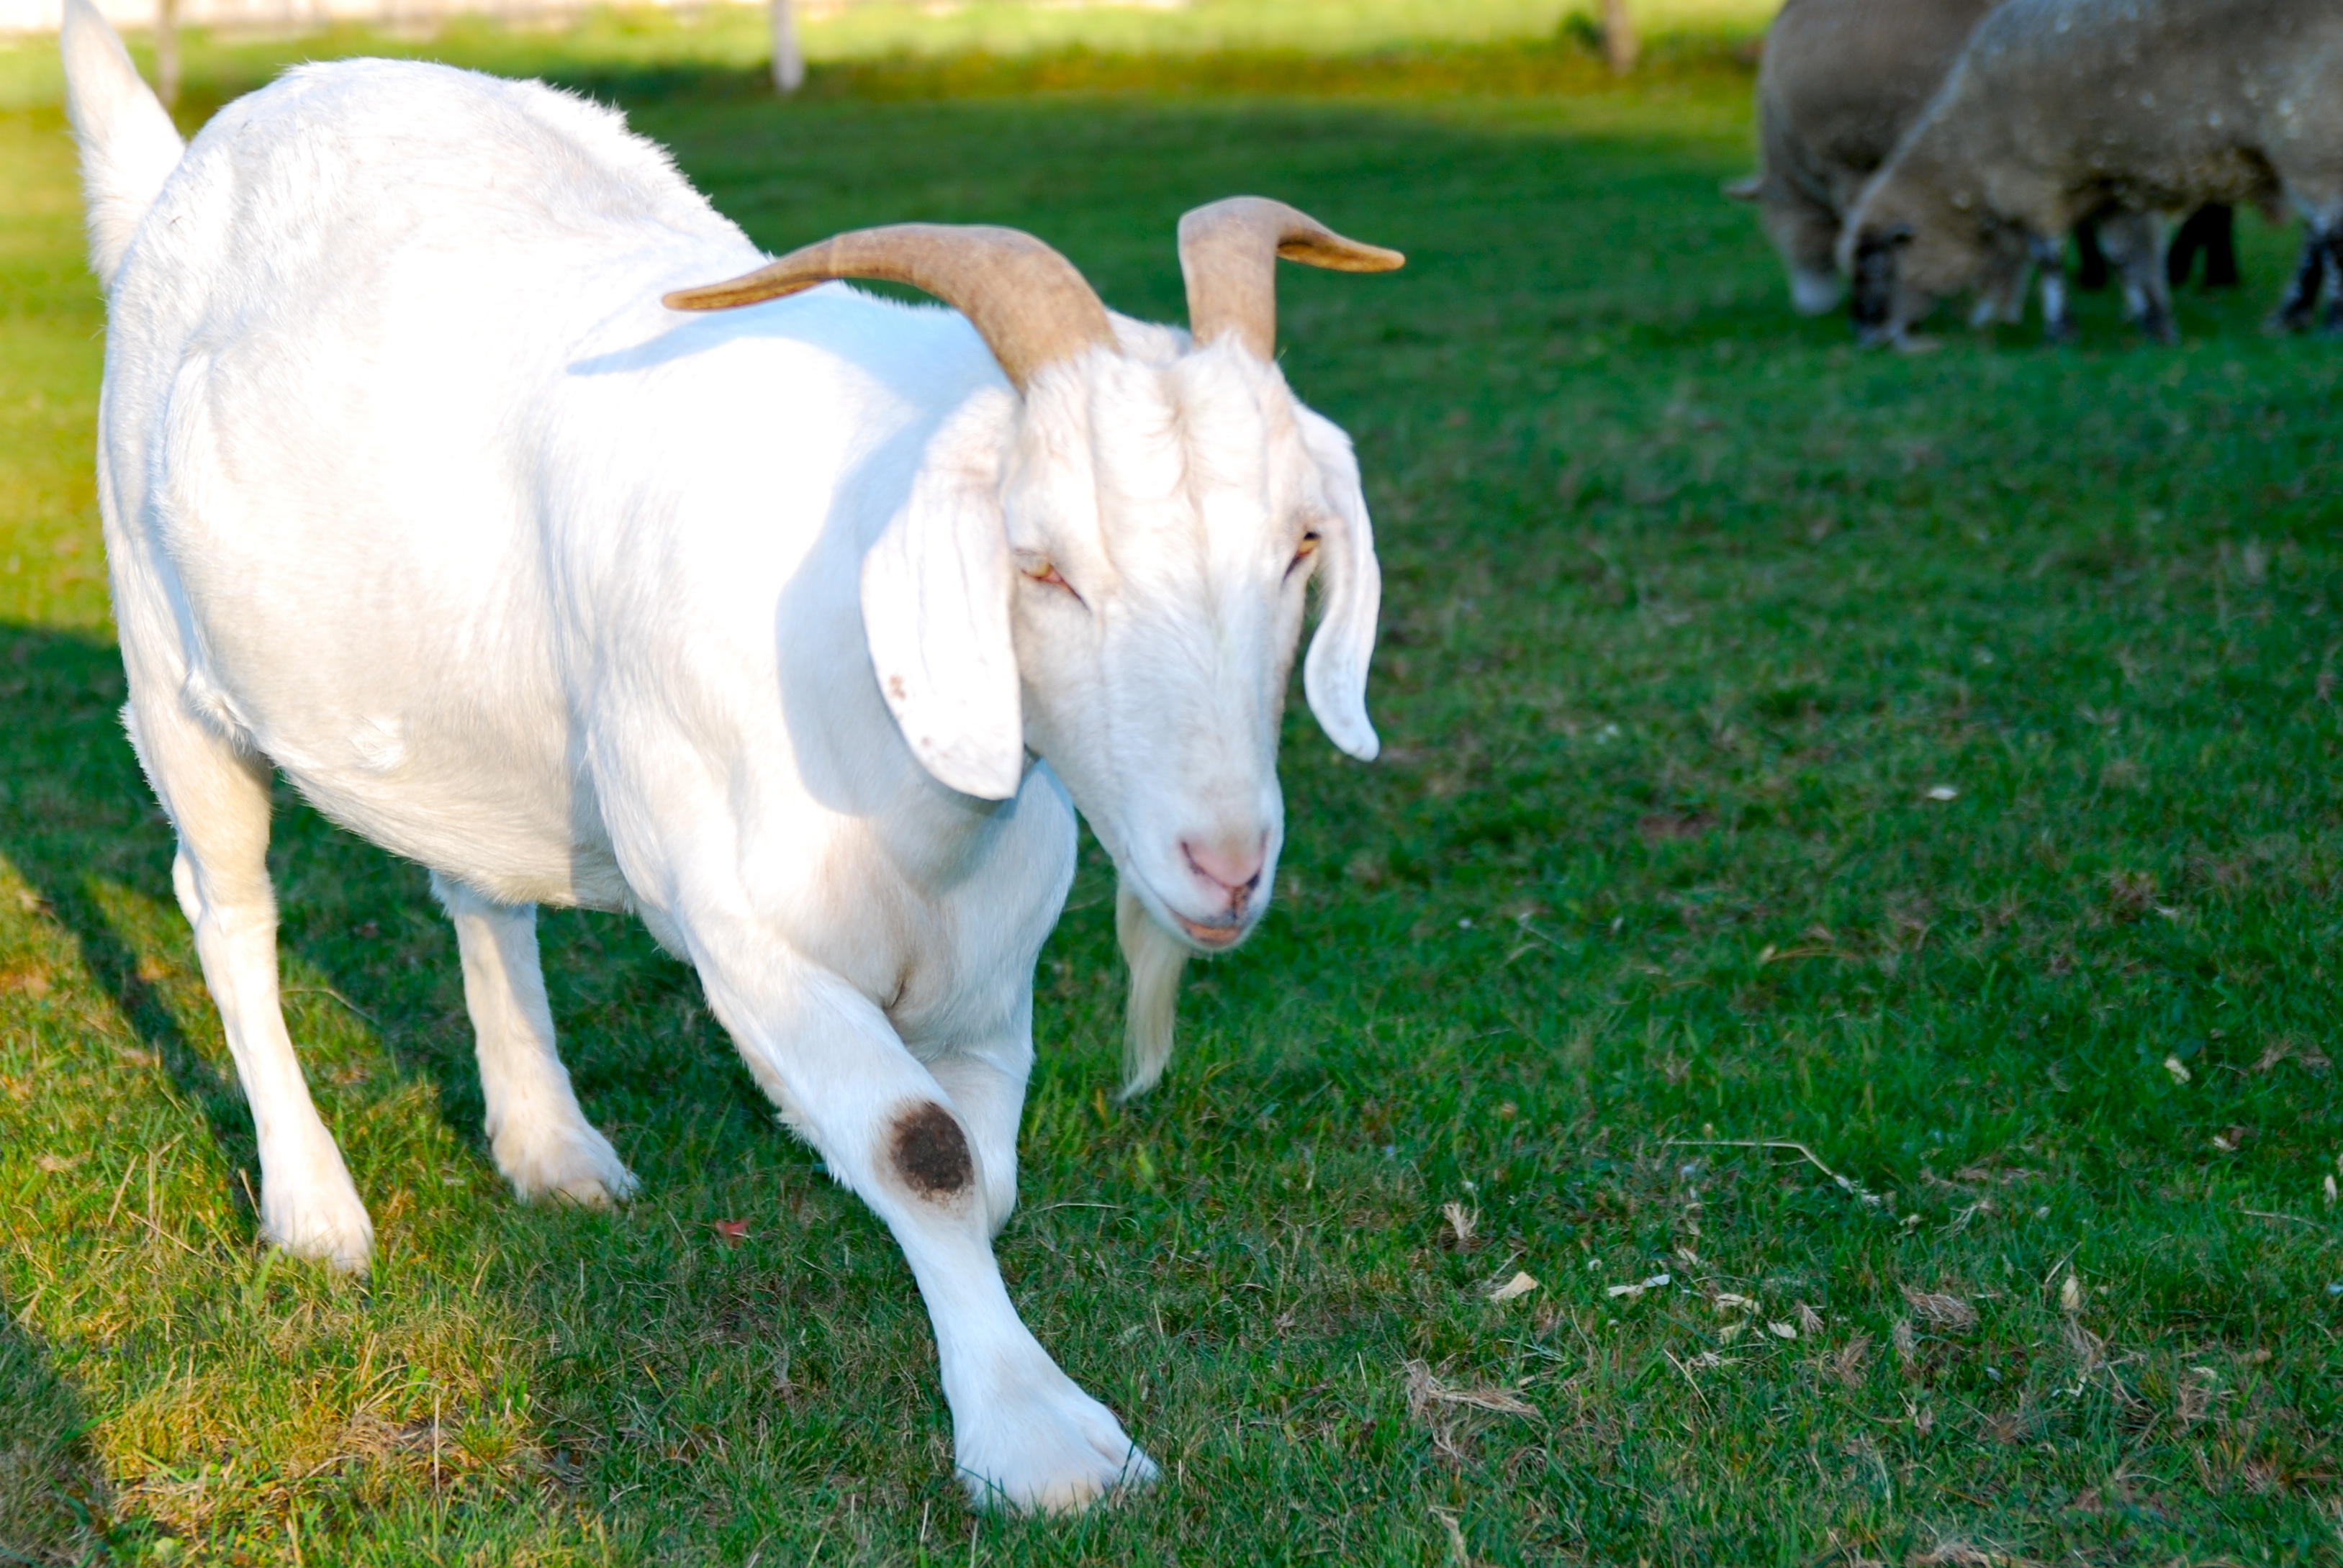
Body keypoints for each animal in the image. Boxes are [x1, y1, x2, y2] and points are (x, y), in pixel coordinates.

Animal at [60, 0, 1399, 1511]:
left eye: (1300, 542)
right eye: (1041, 563)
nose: (1224, 862)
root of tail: (199, 158)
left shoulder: (992, 954)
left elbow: (982, 1165)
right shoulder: (744, 929)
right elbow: (924, 1151)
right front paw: (1046, 1439)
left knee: (477, 887)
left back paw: (551, 1145)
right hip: (169, 666)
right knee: (226, 902)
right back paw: (314, 1206)